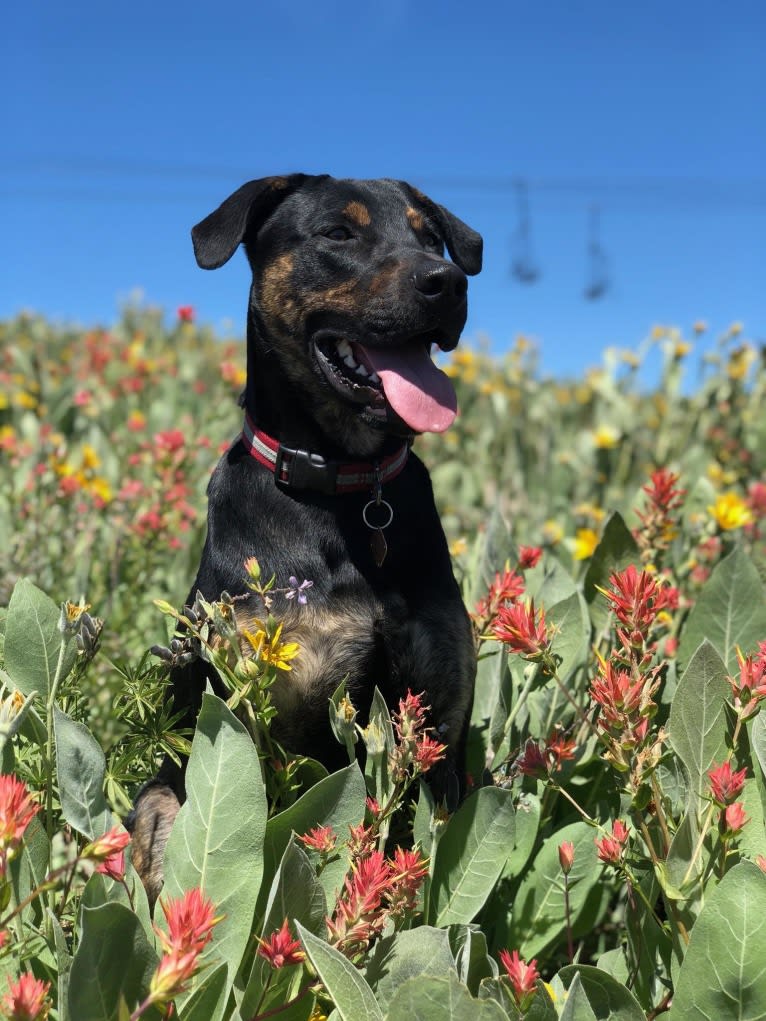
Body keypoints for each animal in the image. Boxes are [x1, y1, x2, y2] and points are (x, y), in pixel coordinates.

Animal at [128, 173, 482, 902]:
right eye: (338, 233)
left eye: (431, 238)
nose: (449, 282)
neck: (344, 485)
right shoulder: (264, 724)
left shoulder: (440, 727)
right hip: (157, 802)